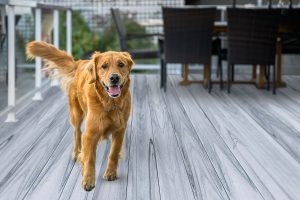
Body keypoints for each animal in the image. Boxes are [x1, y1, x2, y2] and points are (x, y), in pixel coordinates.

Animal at [26, 41, 134, 191]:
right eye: (104, 66)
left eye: (121, 64)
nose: (114, 78)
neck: (109, 103)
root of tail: (79, 62)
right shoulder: (90, 133)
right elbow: (89, 158)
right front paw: (88, 180)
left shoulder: (120, 130)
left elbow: (113, 153)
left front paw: (111, 173)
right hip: (76, 114)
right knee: (77, 133)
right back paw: (77, 154)